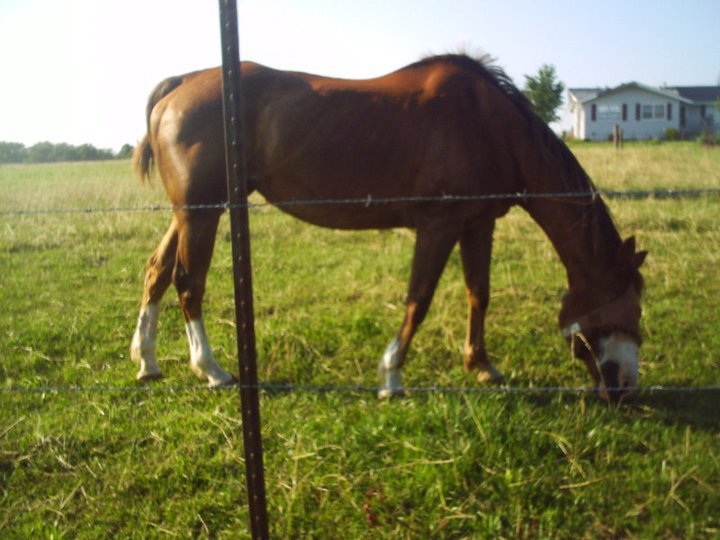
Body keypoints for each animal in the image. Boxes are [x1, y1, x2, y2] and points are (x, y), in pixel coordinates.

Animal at [130, 54, 646, 402]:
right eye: (631, 302)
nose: (625, 386)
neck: (491, 127)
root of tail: (180, 84)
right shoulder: (438, 225)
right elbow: (419, 299)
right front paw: (392, 376)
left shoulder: (477, 225)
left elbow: (478, 293)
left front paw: (481, 365)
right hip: (202, 212)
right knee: (188, 283)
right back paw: (213, 370)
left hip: (189, 213)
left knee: (156, 272)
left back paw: (148, 361)